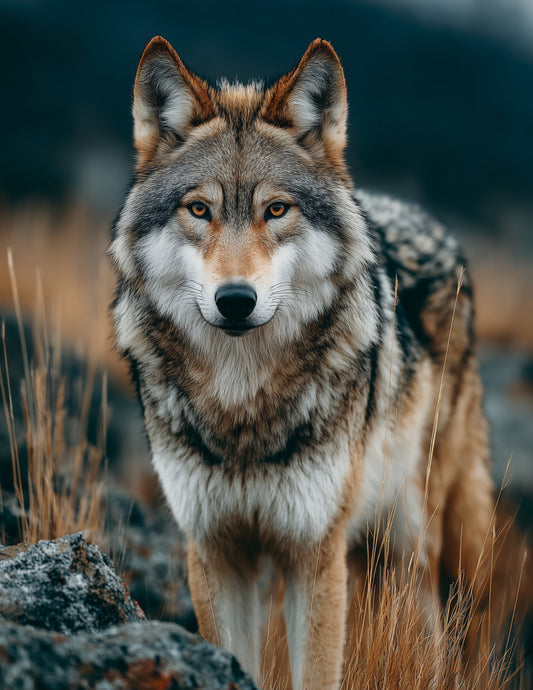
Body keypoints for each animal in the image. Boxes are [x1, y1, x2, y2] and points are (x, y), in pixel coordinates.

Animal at [109, 36, 495, 689]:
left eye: (277, 210)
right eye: (199, 210)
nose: (235, 300)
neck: (242, 403)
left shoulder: (314, 555)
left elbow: (316, 670)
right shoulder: (217, 552)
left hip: (413, 534)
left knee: (432, 626)